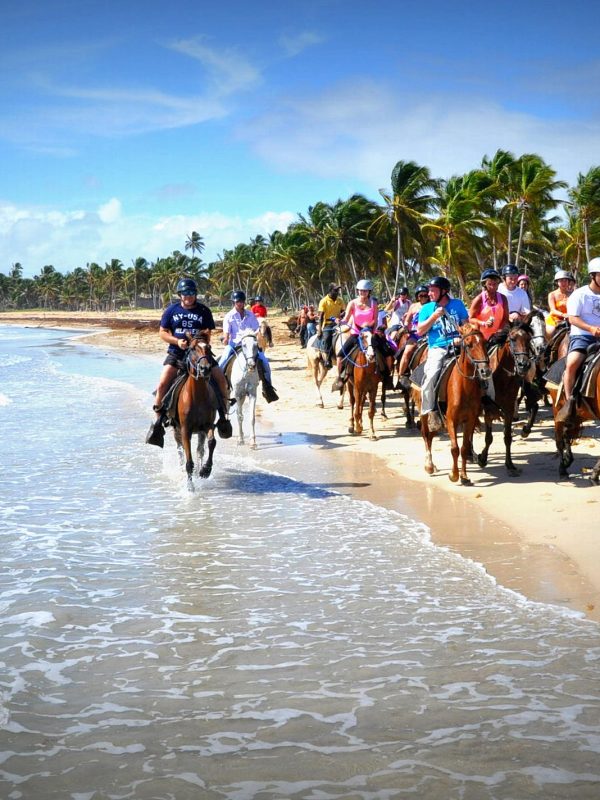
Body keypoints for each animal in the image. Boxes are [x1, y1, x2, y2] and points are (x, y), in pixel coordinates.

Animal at [170, 336, 219, 490]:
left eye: (208, 347)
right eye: (192, 349)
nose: (205, 369)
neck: (198, 396)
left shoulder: (207, 425)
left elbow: (212, 442)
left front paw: (205, 470)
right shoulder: (185, 429)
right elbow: (188, 460)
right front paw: (190, 487)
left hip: (200, 432)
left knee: (200, 450)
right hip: (177, 430)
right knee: (179, 448)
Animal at [414, 322, 490, 484]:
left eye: (485, 343)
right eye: (469, 344)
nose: (485, 371)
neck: (464, 386)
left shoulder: (470, 420)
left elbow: (464, 447)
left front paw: (464, 476)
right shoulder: (451, 420)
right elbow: (454, 448)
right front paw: (454, 475)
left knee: (431, 435)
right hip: (423, 410)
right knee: (425, 434)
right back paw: (429, 465)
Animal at [476, 320, 536, 476]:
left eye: (528, 339)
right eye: (513, 339)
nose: (523, 365)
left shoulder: (508, 409)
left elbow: (507, 437)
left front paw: (510, 464)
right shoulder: (489, 410)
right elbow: (489, 438)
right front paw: (482, 458)